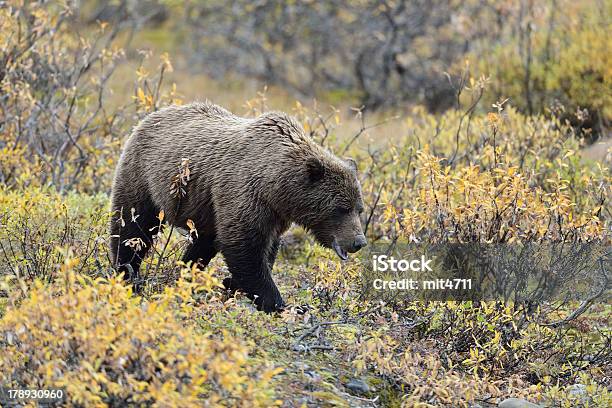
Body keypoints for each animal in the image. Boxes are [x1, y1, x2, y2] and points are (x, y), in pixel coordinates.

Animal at [109, 102, 366, 312]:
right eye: (341, 208)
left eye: (359, 208)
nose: (358, 241)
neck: (277, 187)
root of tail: (151, 116)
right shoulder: (246, 193)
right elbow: (244, 247)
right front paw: (277, 303)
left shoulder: (274, 214)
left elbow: (267, 248)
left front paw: (232, 283)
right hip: (143, 177)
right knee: (133, 226)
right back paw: (127, 274)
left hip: (205, 208)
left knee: (202, 243)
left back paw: (185, 274)